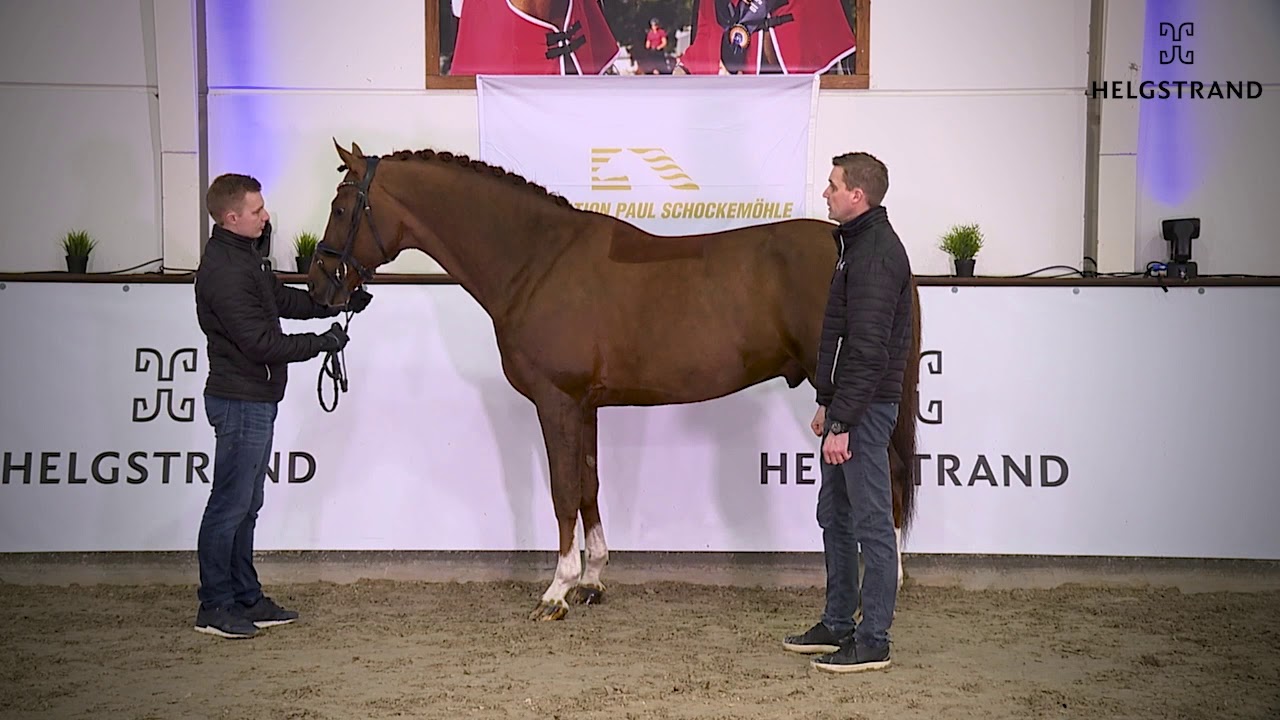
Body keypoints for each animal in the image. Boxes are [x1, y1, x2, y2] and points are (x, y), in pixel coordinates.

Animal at [308, 140, 922, 622]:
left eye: (340, 207)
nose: (319, 287)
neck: (536, 261)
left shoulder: (556, 402)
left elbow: (561, 492)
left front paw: (555, 592)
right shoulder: (584, 406)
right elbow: (588, 486)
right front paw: (592, 580)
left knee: (887, 480)